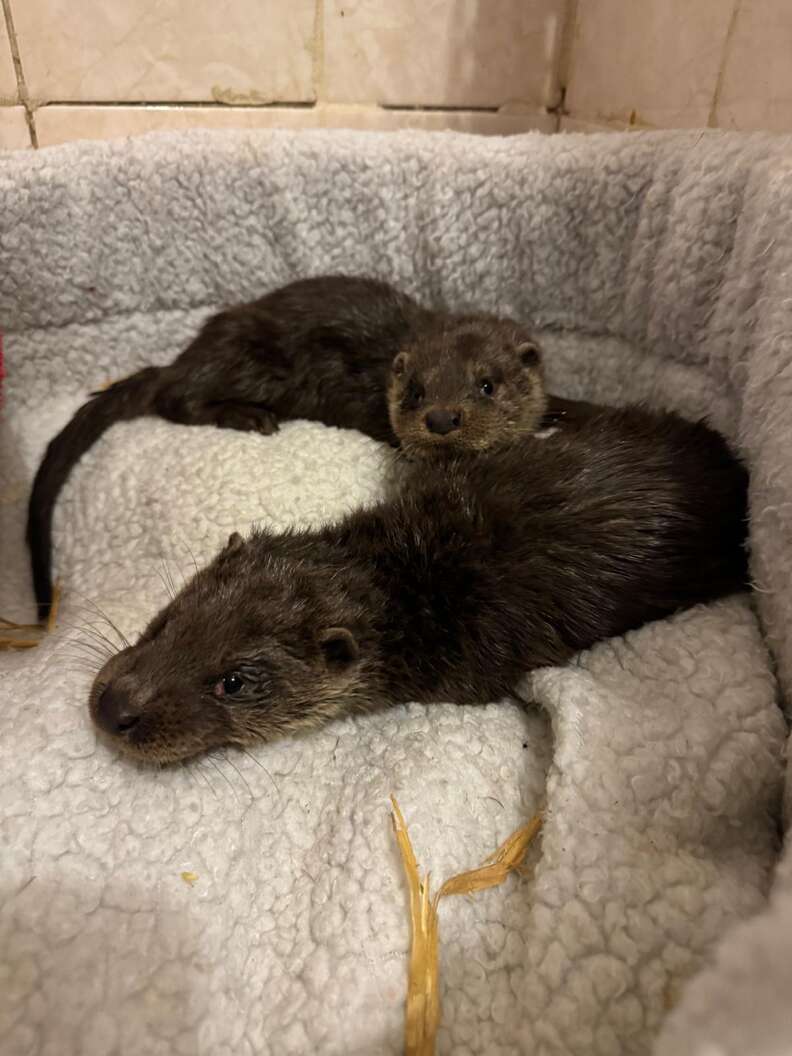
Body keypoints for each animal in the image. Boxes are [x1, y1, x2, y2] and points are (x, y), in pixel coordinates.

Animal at [27, 272, 553, 620]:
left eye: (487, 384)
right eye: (415, 391)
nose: (442, 418)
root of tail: (188, 356)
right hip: (244, 359)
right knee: (175, 397)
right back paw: (247, 416)